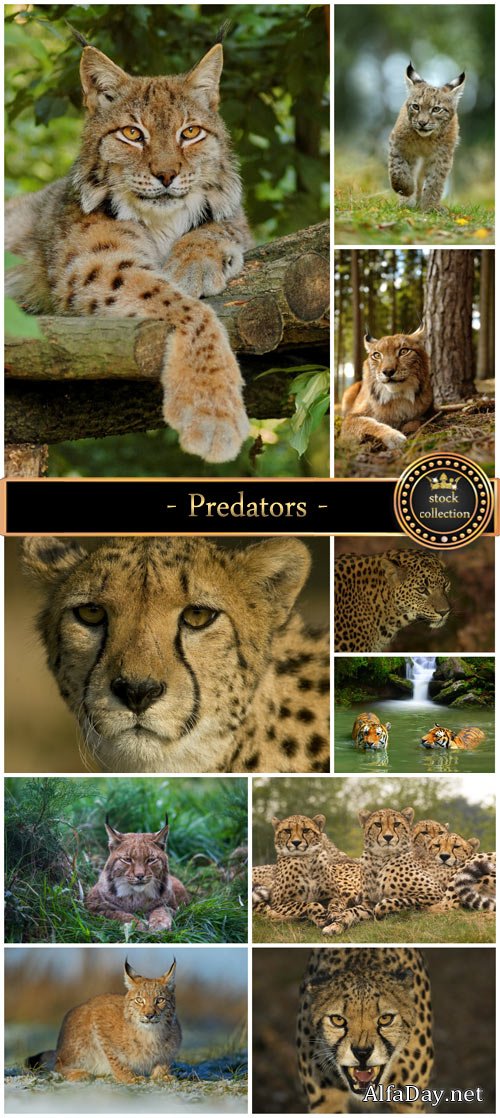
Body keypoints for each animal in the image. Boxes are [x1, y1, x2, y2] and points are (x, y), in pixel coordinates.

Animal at [6, 41, 253, 464]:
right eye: (132, 134)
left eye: (190, 132)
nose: (166, 175)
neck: (160, 220)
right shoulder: (93, 268)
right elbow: (187, 308)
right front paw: (212, 413)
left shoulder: (237, 224)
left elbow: (222, 226)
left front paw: (194, 261)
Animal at [389, 61, 466, 210]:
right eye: (415, 106)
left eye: (436, 109)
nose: (422, 123)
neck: (425, 138)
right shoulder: (398, 144)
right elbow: (397, 169)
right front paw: (406, 189)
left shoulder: (442, 156)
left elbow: (434, 182)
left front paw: (430, 207)